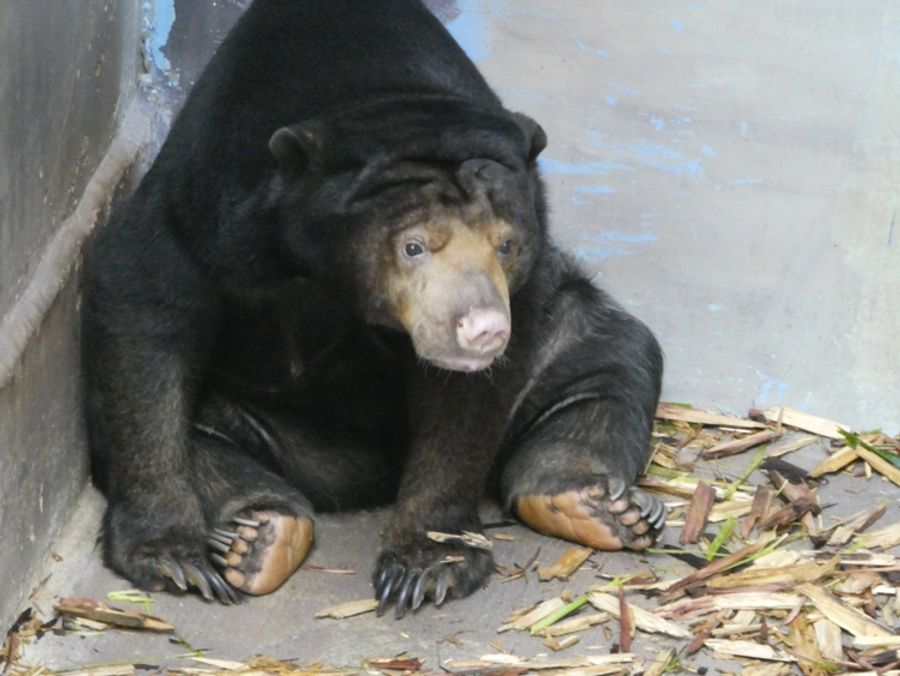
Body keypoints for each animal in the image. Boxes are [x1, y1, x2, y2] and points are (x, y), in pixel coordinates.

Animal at [81, 0, 664, 616]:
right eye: (413, 246)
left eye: (506, 243)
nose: (483, 329)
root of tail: (366, 475)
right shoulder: (202, 213)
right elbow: (144, 318)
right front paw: (171, 557)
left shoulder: (520, 296)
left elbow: (466, 406)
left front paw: (428, 565)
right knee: (202, 428)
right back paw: (256, 534)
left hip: (564, 327)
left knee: (608, 359)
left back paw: (596, 503)